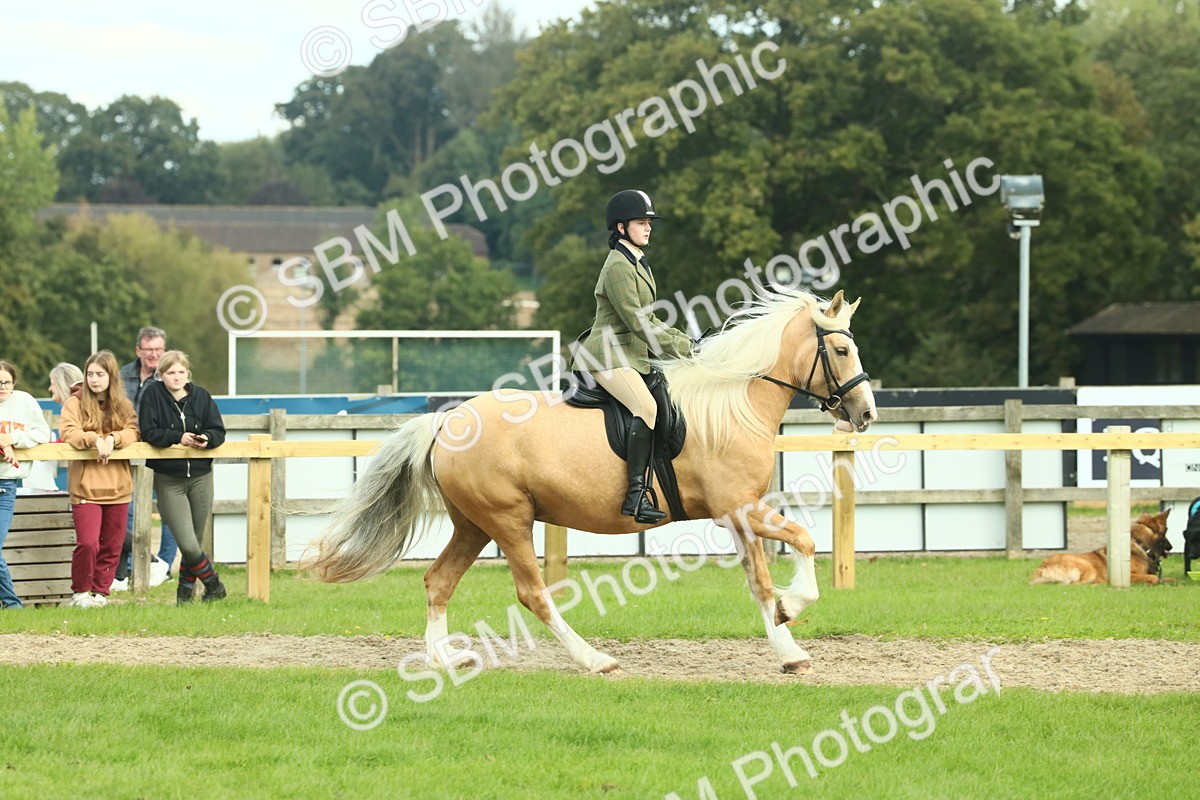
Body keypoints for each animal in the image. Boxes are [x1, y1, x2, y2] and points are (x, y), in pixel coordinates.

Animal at [305, 288, 877, 675]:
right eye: (841, 351)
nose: (866, 413)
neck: (733, 402)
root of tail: (447, 421)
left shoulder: (744, 513)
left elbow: (777, 562)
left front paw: (788, 629)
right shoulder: (736, 509)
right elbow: (785, 557)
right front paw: (790, 626)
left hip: (474, 524)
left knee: (437, 581)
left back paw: (446, 661)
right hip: (507, 521)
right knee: (533, 594)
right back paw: (594, 659)